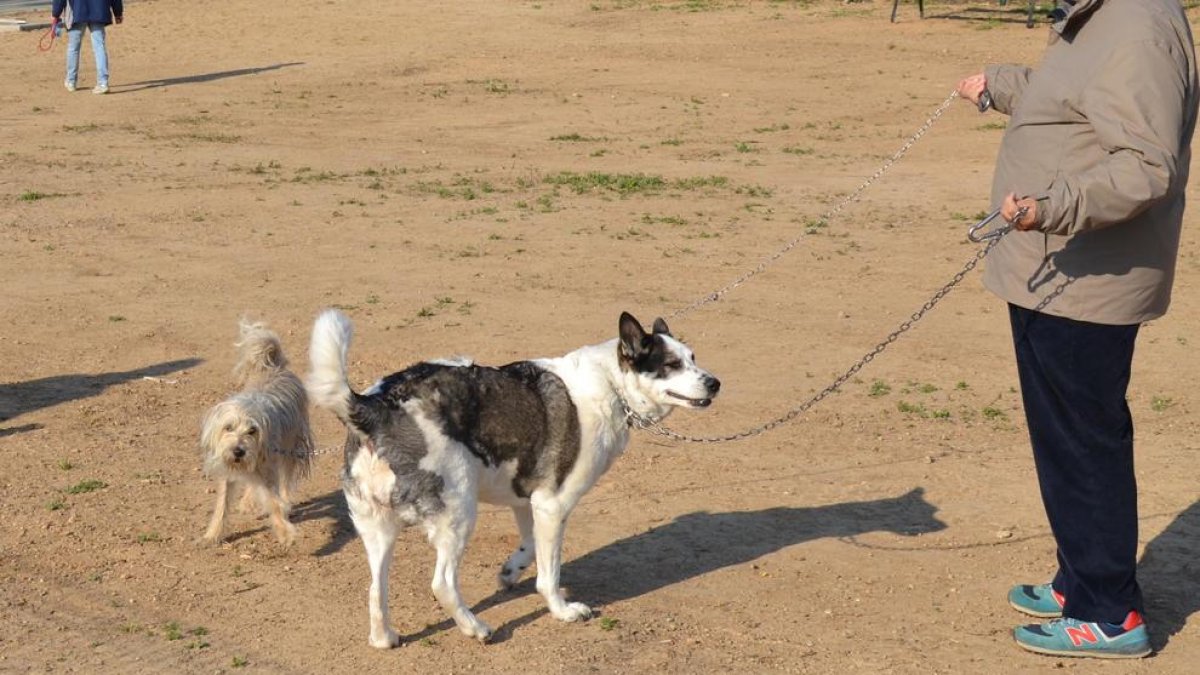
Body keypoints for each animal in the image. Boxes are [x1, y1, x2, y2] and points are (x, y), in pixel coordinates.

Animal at [312, 307, 720, 643]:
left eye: (693, 358)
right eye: (671, 364)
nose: (715, 382)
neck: (610, 385)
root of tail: (375, 406)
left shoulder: (529, 500)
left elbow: (529, 546)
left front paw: (510, 572)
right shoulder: (554, 505)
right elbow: (549, 574)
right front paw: (562, 610)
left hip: (377, 529)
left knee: (375, 589)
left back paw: (385, 637)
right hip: (458, 516)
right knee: (442, 584)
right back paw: (476, 628)